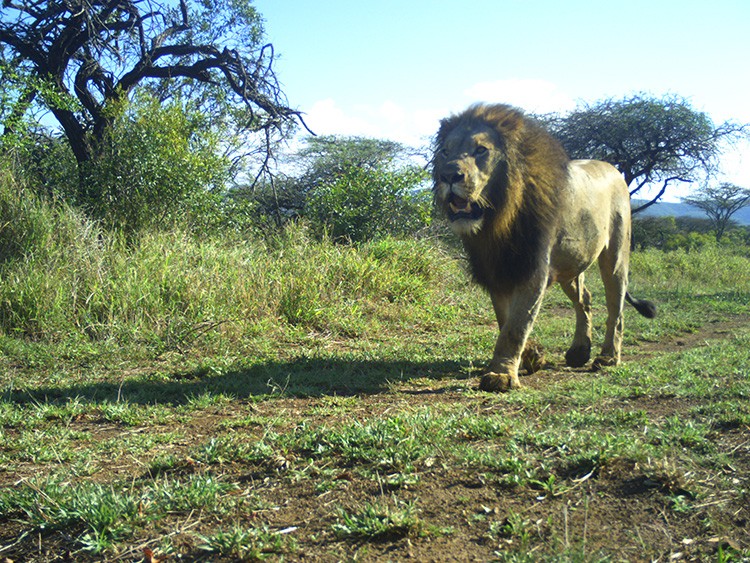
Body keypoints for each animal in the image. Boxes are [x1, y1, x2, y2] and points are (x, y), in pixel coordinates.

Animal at [434, 102, 656, 392]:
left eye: (481, 149)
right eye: (445, 152)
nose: (448, 174)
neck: (498, 220)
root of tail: (614, 169)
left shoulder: (533, 270)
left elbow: (516, 326)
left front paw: (501, 375)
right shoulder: (498, 271)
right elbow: (505, 320)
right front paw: (532, 357)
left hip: (615, 255)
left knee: (615, 308)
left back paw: (607, 357)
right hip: (571, 265)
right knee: (585, 299)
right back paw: (579, 352)